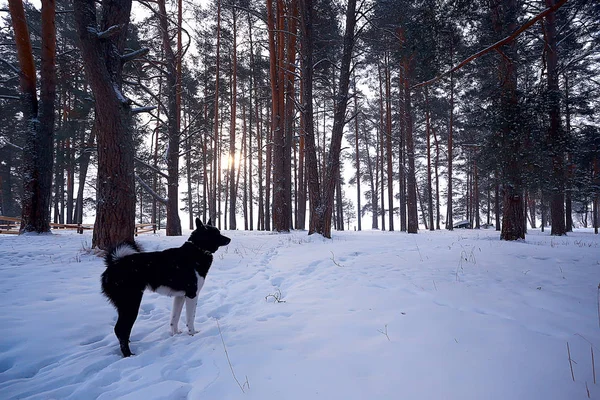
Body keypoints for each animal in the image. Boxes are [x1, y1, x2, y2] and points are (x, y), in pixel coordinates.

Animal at [101, 219, 230, 356]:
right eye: (215, 233)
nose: (229, 239)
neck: (197, 249)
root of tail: (115, 263)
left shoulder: (180, 296)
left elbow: (175, 318)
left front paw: (175, 334)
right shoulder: (192, 295)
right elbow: (190, 318)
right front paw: (192, 334)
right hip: (131, 303)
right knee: (120, 329)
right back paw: (128, 354)